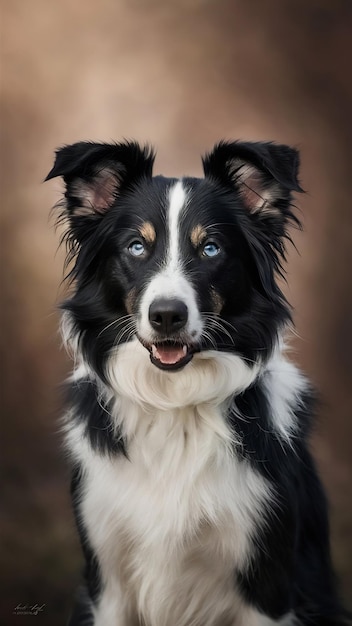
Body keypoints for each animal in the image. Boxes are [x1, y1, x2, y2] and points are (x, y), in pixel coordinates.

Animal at [46, 140, 346, 624]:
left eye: (210, 249)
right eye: (136, 247)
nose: (167, 315)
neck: (174, 402)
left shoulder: (269, 582)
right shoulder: (107, 581)